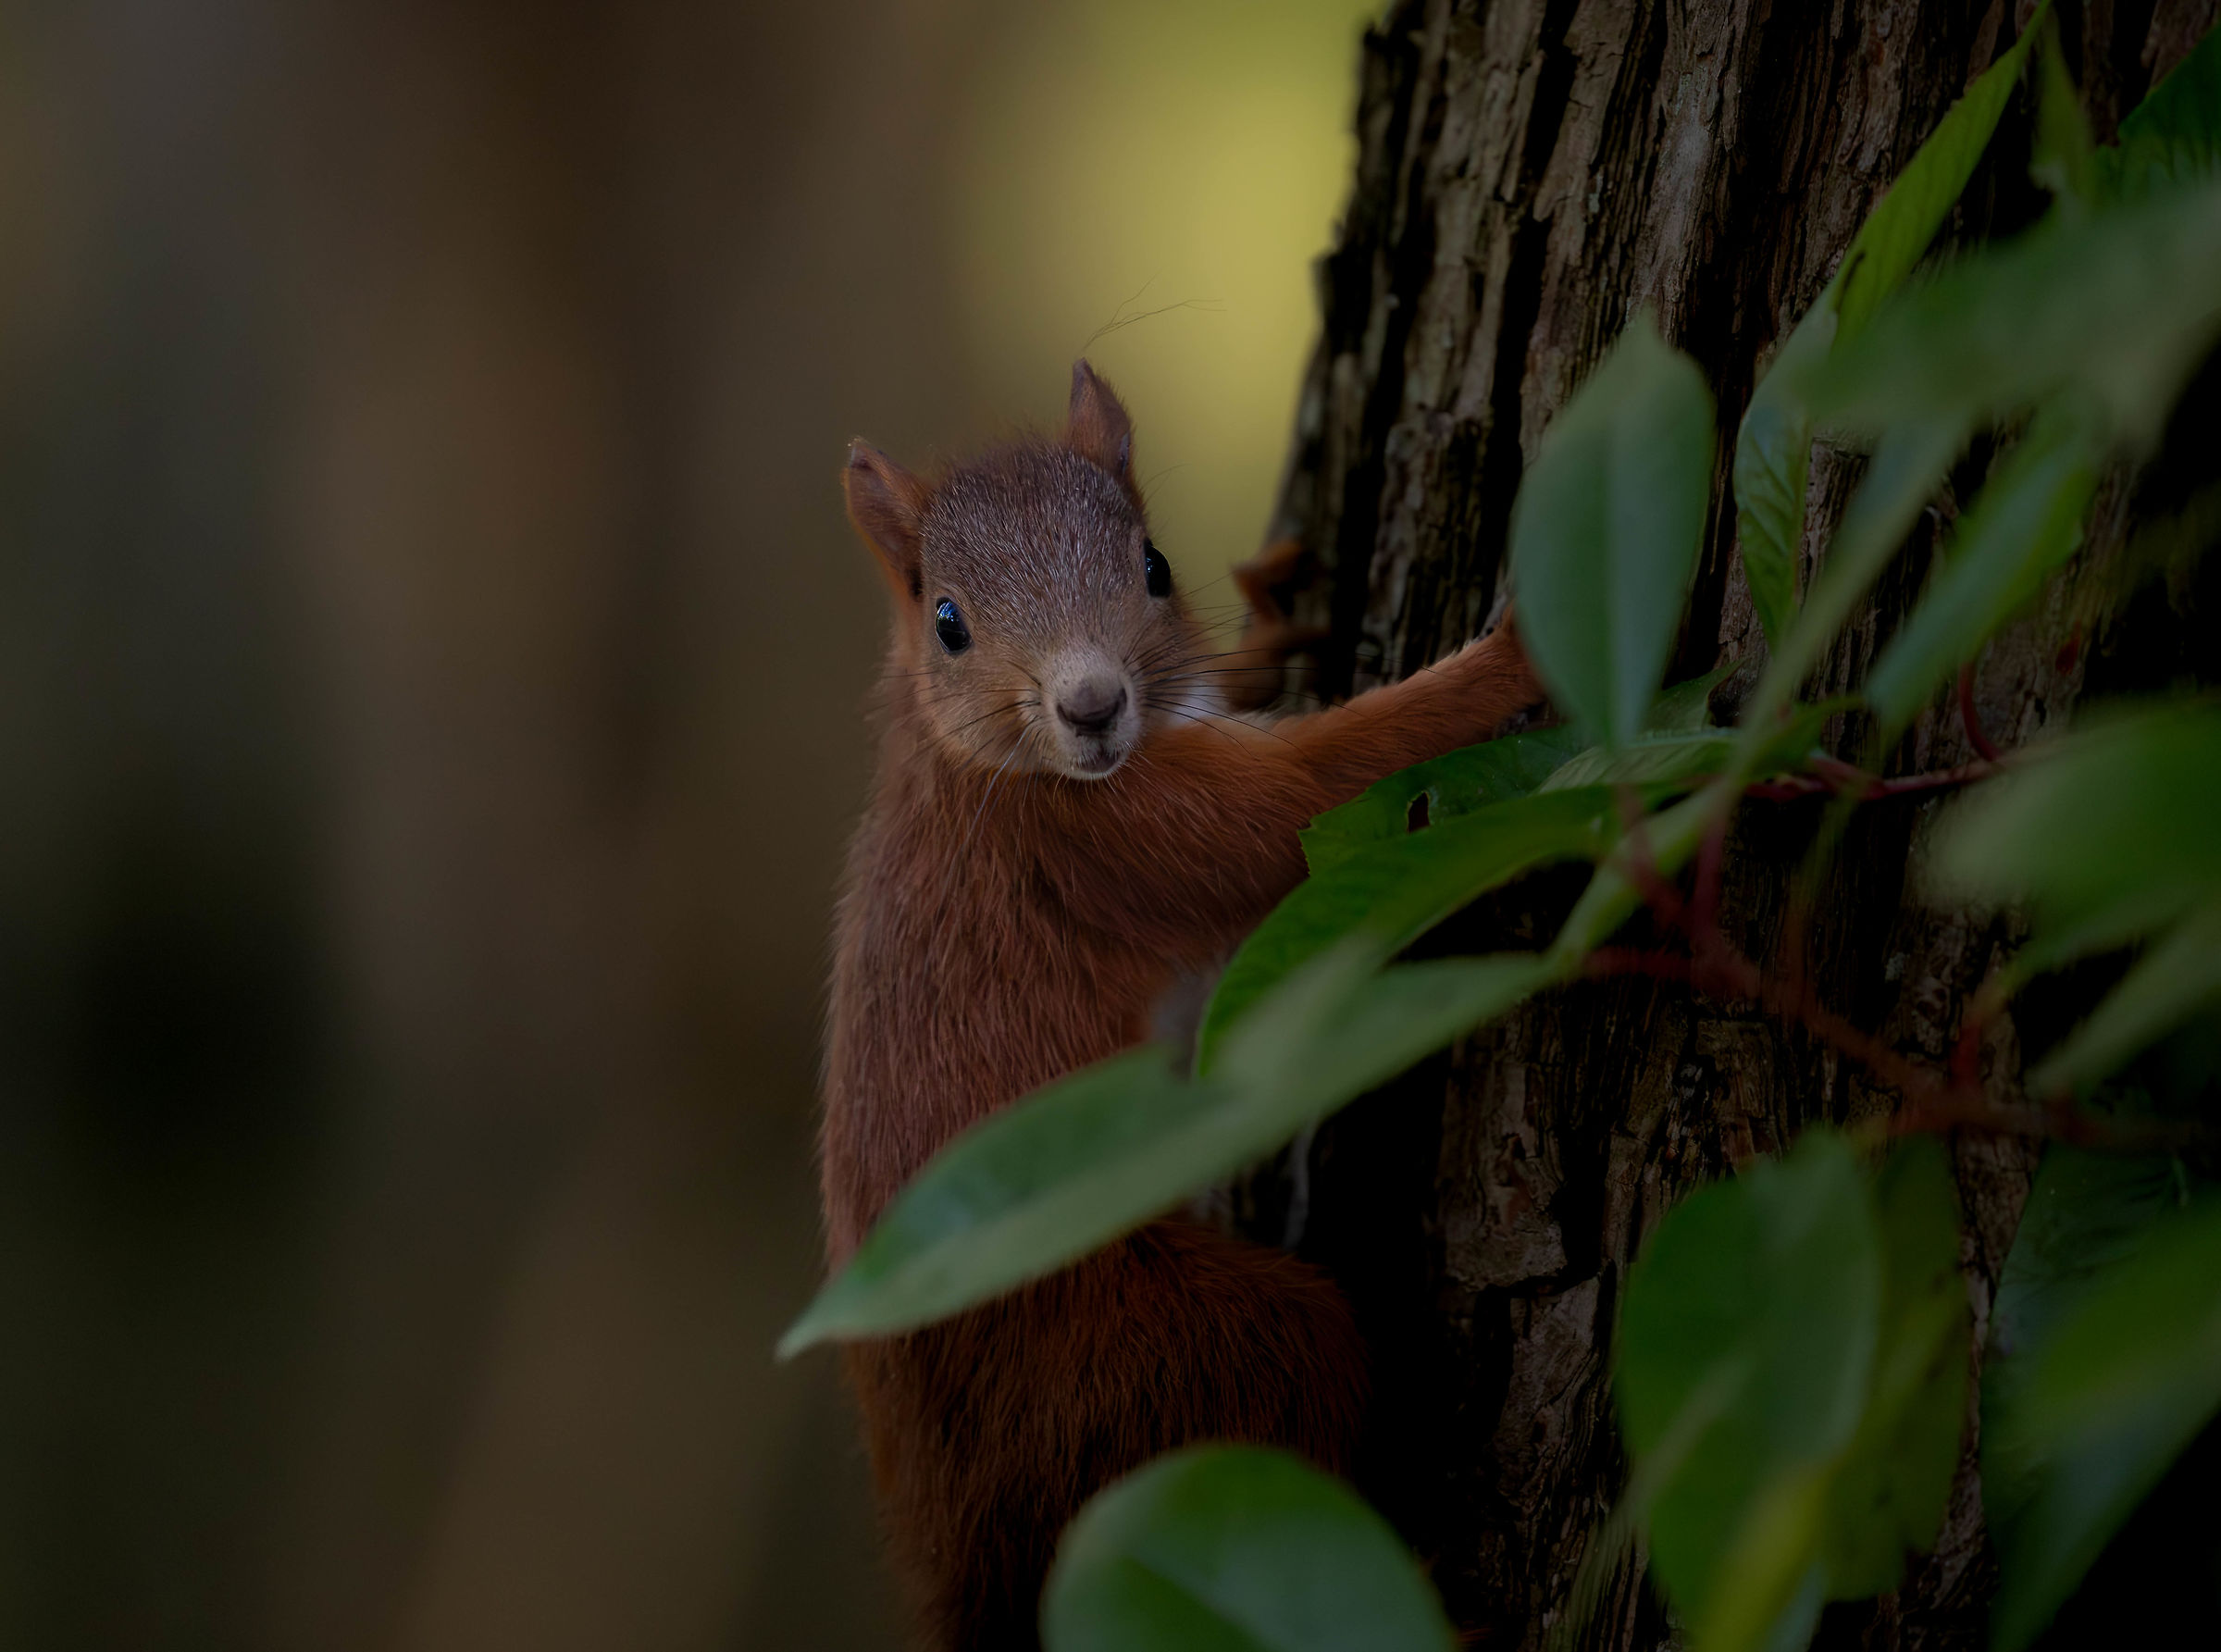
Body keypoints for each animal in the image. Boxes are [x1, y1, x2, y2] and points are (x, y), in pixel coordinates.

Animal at [822, 361, 1541, 1650]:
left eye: (1154, 564)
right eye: (948, 622)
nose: (1094, 703)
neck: (982, 764)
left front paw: (1272, 620)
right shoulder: (1112, 842)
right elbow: (1306, 795)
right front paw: (1507, 659)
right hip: (1159, 1356)